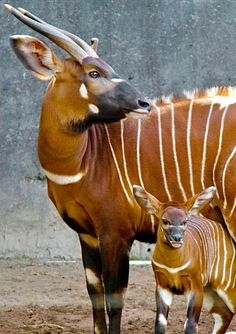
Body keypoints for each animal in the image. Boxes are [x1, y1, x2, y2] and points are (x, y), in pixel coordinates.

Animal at [134, 185, 236, 334]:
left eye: (184, 222)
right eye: (165, 221)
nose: (177, 238)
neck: (173, 265)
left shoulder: (195, 288)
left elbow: (191, 324)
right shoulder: (163, 287)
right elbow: (160, 323)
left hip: (227, 285)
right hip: (210, 291)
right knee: (224, 313)